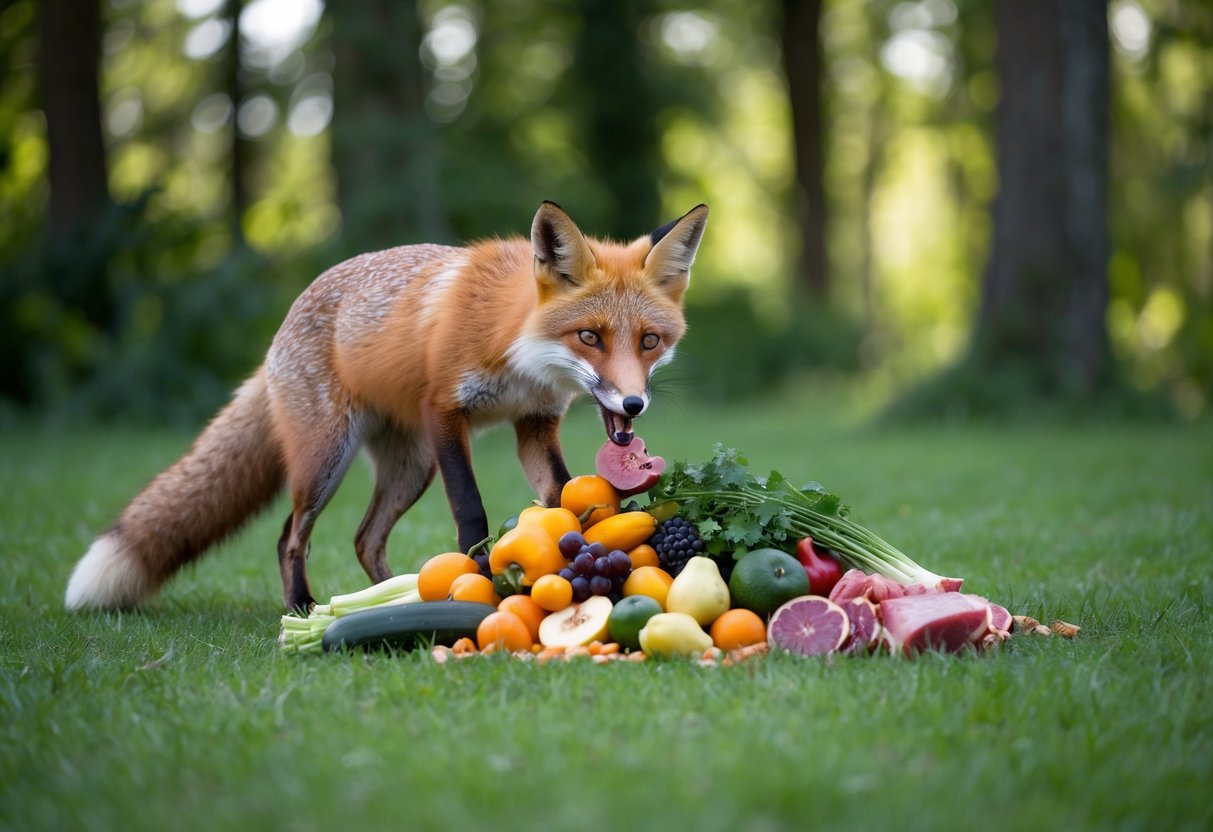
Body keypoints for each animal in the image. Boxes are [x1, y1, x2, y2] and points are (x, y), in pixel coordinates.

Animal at [64, 201, 708, 612]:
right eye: (590, 337)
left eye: (649, 341)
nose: (634, 403)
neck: (518, 353)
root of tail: (282, 328)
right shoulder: (444, 411)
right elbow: (471, 514)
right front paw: (476, 581)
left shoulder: (534, 424)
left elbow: (561, 499)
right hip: (328, 460)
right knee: (290, 536)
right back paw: (304, 605)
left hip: (409, 468)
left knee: (363, 538)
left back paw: (391, 594)